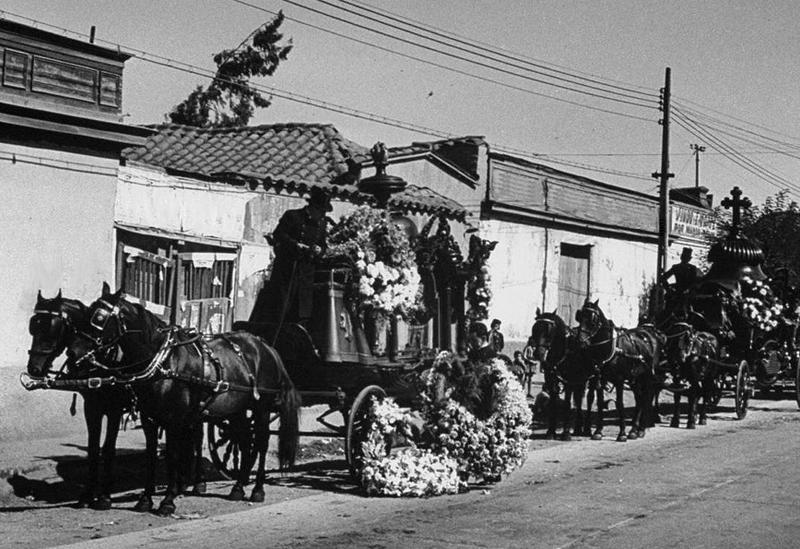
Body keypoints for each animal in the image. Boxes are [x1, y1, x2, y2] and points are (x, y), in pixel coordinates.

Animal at [25, 292, 131, 510]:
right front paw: (88, 494)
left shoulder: (114, 409)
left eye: (52, 327)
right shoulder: (91, 407)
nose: (34, 369)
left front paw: (105, 496)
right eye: (33, 326)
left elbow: (108, 449)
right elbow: (93, 449)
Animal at [67, 282, 300, 512]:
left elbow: (173, 454)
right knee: (243, 440)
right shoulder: (149, 418)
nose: (73, 352)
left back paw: (257, 489)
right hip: (237, 410)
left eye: (99, 318)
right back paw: (238, 487)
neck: (165, 362)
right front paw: (145, 499)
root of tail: (266, 347)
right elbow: (150, 454)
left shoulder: (174, 419)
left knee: (261, 442)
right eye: (85, 313)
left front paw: (168, 500)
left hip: (262, 407)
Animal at [580, 300, 660, 440]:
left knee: (645, 399)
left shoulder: (619, 380)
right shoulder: (600, 380)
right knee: (639, 399)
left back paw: (641, 429)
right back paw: (633, 430)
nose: (580, 340)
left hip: (647, 377)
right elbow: (600, 403)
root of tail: (649, 332)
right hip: (635, 379)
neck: (611, 348)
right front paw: (598, 431)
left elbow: (620, 404)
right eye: (579, 317)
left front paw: (622, 433)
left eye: (592, 320)